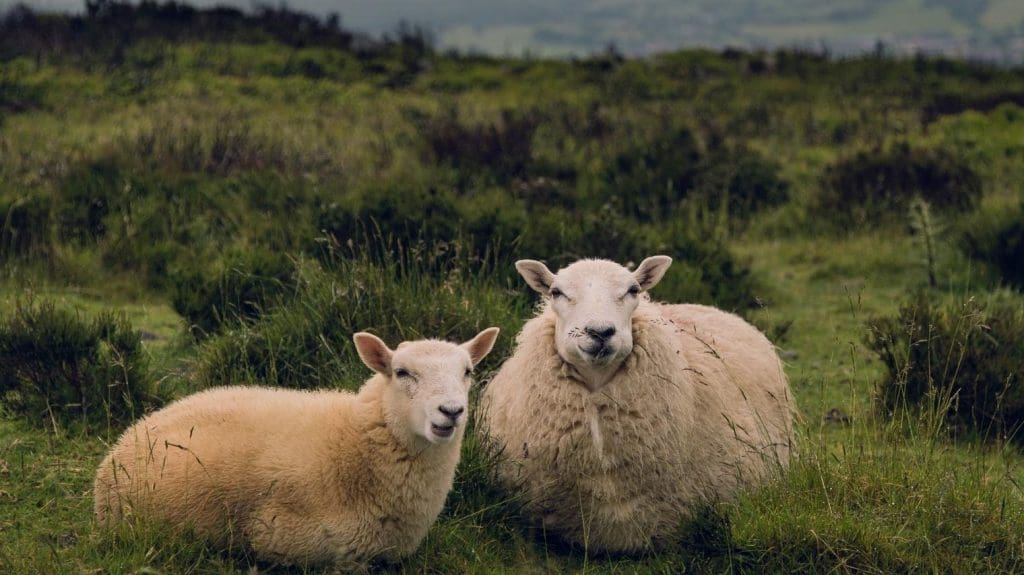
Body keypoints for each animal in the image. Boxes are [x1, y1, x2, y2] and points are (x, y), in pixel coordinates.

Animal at [94, 327, 500, 567]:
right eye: (402, 373)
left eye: (467, 372)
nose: (451, 411)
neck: (357, 444)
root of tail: (130, 434)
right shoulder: (292, 540)